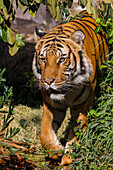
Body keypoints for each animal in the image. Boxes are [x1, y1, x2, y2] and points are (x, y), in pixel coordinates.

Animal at [32, 10, 108, 165]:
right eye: (43, 59)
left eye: (62, 59)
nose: (48, 81)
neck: (66, 94)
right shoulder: (51, 105)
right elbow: (45, 133)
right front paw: (55, 151)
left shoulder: (81, 106)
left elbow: (76, 134)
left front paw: (68, 160)